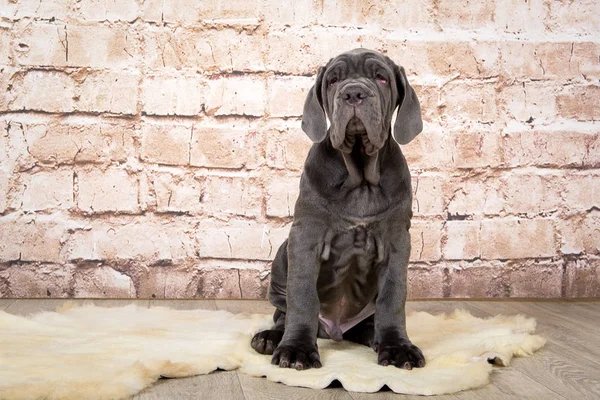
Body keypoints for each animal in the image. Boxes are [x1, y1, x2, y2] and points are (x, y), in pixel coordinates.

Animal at [251, 48, 424, 370]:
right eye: (332, 81)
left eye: (381, 77)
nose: (353, 93)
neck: (360, 175)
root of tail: (335, 329)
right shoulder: (305, 237)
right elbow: (302, 296)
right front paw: (296, 349)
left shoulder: (397, 241)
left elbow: (392, 297)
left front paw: (397, 347)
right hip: (282, 254)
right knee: (283, 313)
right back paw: (271, 337)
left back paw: (375, 336)